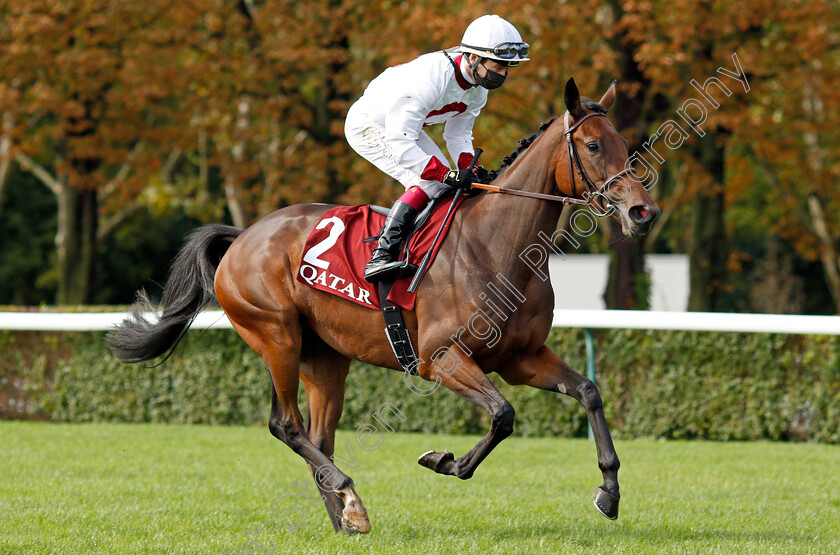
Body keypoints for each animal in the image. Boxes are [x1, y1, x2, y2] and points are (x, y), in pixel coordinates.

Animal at [106, 78, 656, 536]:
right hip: (276, 336)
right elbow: (503, 414)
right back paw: (348, 497)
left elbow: (588, 391)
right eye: (592, 145)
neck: (498, 246)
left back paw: (347, 517)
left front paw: (609, 491)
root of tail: (242, 237)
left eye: (625, 145)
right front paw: (445, 461)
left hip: (326, 357)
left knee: (320, 437)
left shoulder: (521, 357)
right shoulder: (441, 359)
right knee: (286, 425)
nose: (642, 211)